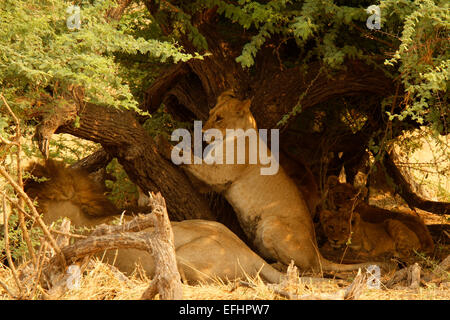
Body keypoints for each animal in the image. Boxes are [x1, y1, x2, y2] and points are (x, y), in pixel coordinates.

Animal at [181, 89, 384, 272]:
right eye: (210, 114)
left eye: (219, 118)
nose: (202, 132)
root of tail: (317, 252)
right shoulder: (209, 182)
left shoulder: (219, 174)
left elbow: (190, 158)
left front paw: (173, 147)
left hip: (271, 224)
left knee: (308, 268)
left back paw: (279, 266)